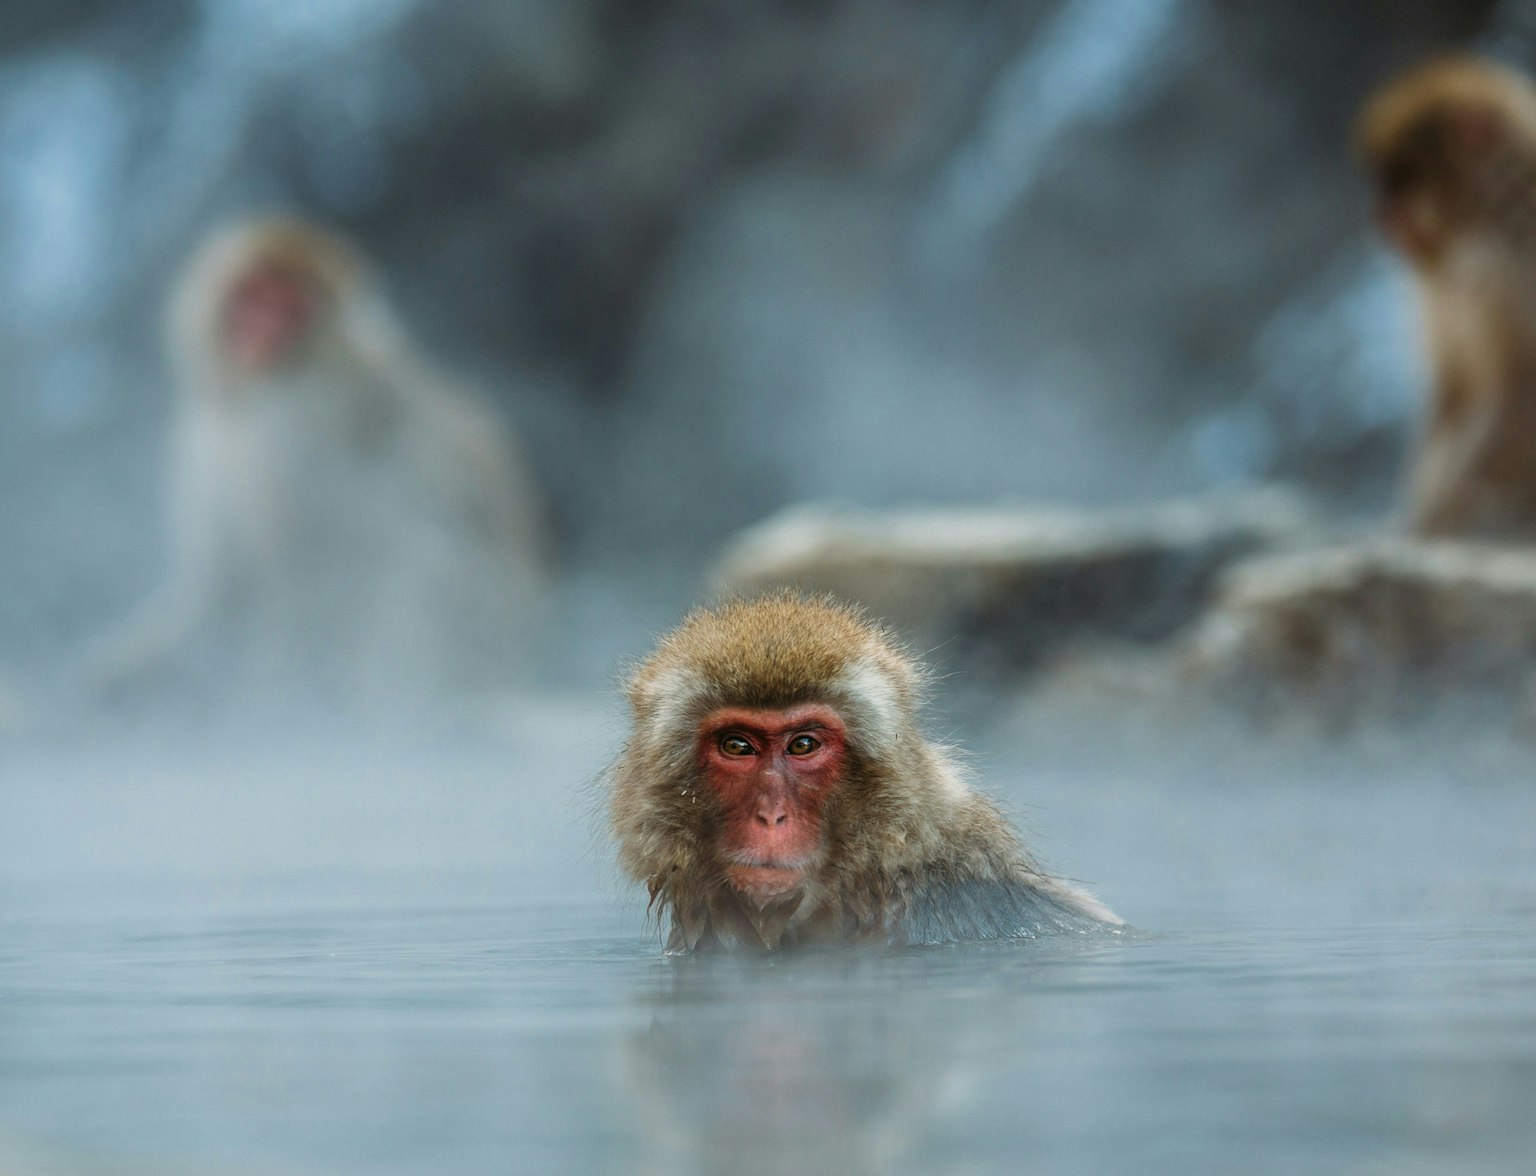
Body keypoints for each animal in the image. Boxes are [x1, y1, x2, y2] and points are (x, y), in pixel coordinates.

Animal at [87, 216, 545, 704]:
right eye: (253, 291)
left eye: (290, 307)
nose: (259, 332)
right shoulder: (202, 435)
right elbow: (223, 594)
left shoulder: (297, 425)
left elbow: (305, 567)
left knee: (421, 558)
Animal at [1358, 56, 1536, 538]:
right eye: (1385, 182)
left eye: (1403, 180)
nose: (1381, 215)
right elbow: (1452, 393)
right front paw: (1421, 515)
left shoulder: (1514, 266)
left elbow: (1520, 387)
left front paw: (1445, 513)